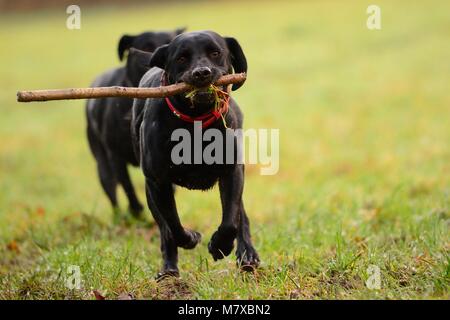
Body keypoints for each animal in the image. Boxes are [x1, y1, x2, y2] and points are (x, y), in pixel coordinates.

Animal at [85, 28, 184, 219]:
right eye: (146, 46)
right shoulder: (115, 156)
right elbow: (127, 185)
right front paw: (136, 209)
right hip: (102, 165)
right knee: (112, 193)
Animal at [130, 31, 260, 278]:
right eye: (181, 58)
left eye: (215, 53)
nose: (202, 73)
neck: (195, 123)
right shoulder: (158, 182)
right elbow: (173, 225)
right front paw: (191, 238)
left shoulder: (232, 172)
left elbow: (231, 222)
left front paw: (220, 246)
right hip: (151, 193)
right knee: (165, 230)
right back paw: (169, 270)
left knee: (241, 217)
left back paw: (247, 255)